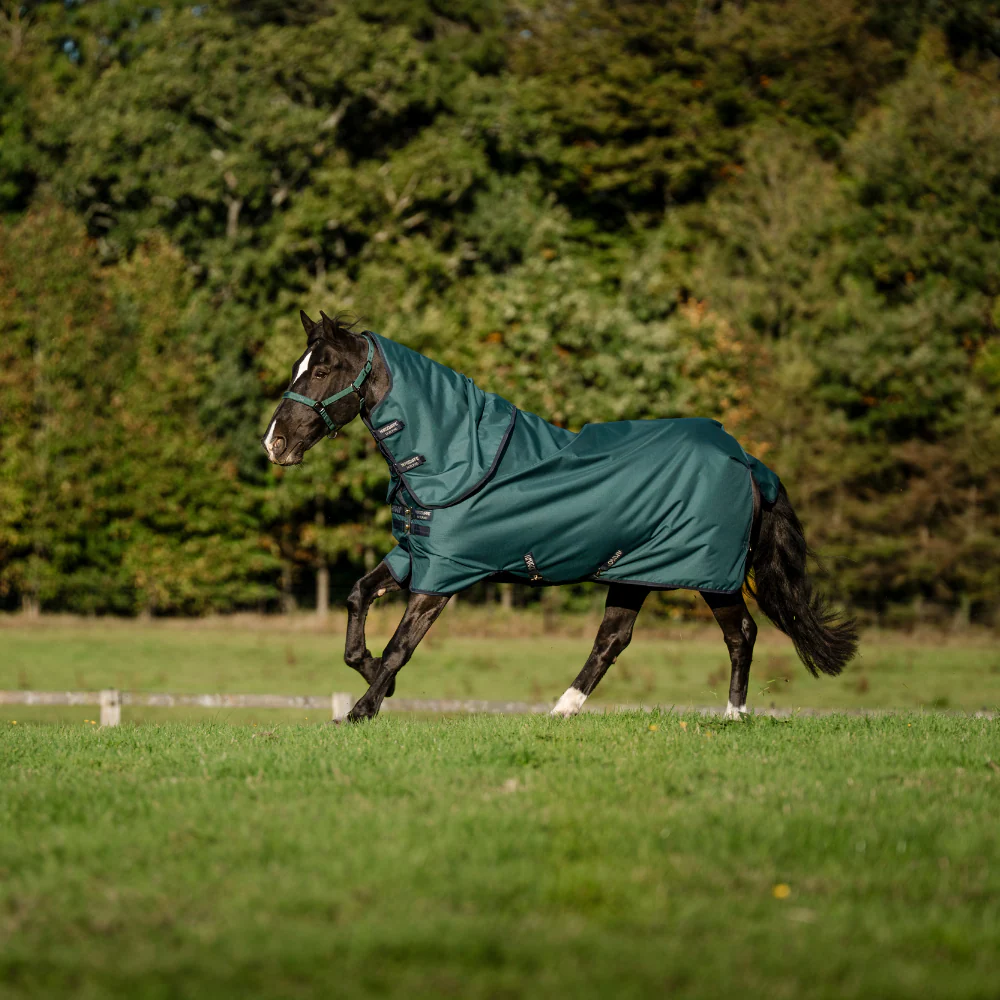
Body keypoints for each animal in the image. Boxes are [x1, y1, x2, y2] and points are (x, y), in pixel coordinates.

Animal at [262, 311, 858, 722]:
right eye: (299, 367)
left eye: (322, 369)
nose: (275, 443)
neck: (455, 456)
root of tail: (747, 460)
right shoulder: (415, 555)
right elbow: (357, 600)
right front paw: (370, 679)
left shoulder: (443, 576)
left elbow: (399, 648)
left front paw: (362, 709)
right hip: (633, 571)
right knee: (612, 640)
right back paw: (562, 710)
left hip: (710, 575)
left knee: (742, 635)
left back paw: (734, 715)